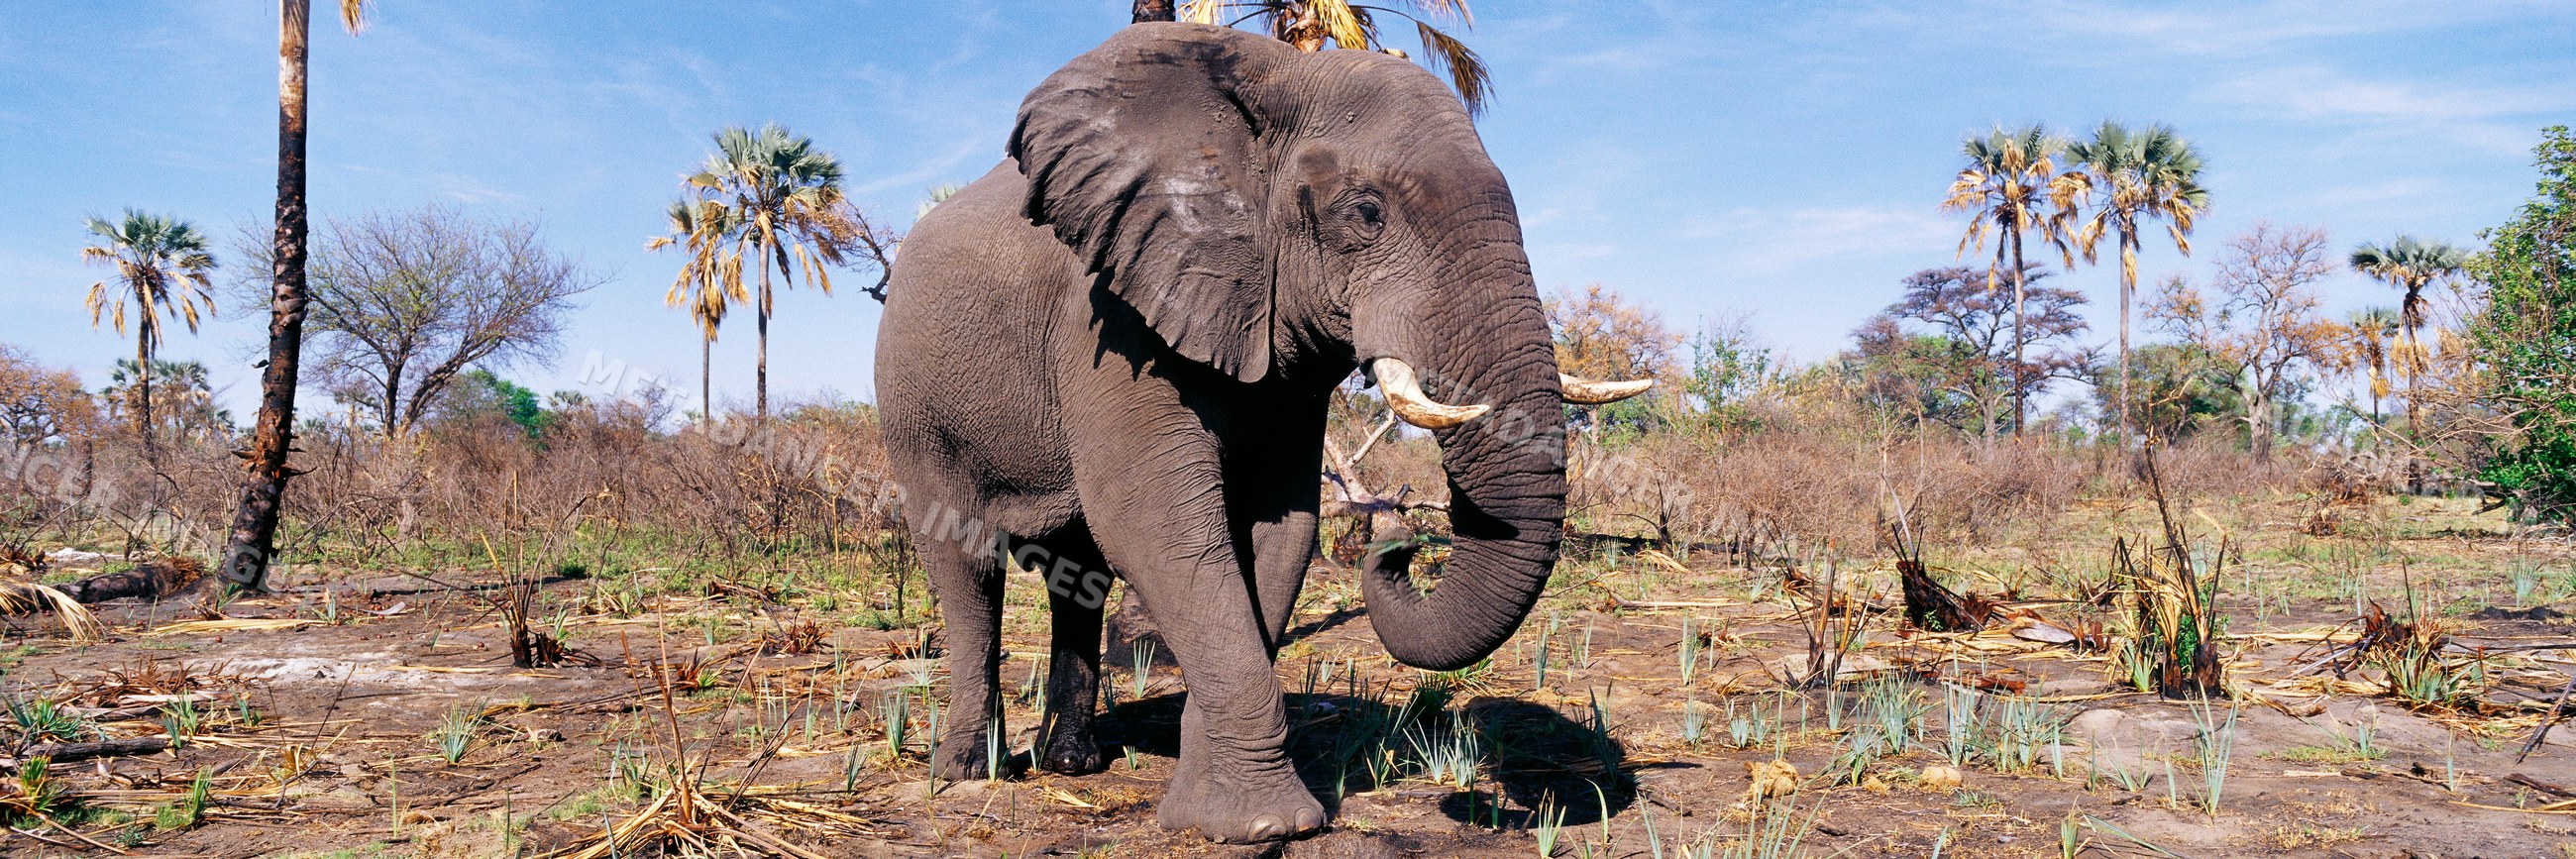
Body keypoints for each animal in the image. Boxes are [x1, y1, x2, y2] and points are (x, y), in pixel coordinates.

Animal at [874, 21, 1648, 842]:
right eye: (1366, 213)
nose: (1400, 547)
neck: (1274, 84)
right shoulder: (1112, 318)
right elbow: (1157, 526)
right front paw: (1268, 824)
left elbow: (1282, 528)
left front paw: (1213, 808)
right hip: (913, 403)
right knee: (966, 565)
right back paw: (966, 771)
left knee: (1075, 576)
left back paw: (1073, 765)